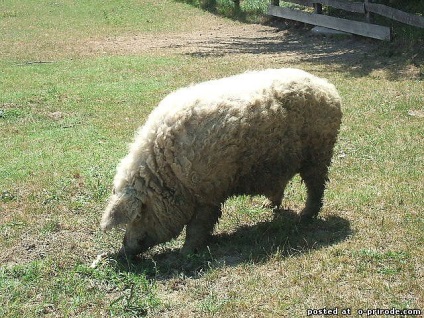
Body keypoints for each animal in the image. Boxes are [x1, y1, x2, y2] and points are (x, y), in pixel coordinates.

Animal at [101, 68, 342, 258]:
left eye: (139, 215)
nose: (123, 251)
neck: (170, 175)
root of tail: (329, 88)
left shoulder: (208, 193)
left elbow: (198, 226)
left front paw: (186, 253)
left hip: (319, 154)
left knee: (316, 186)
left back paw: (305, 216)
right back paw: (267, 207)